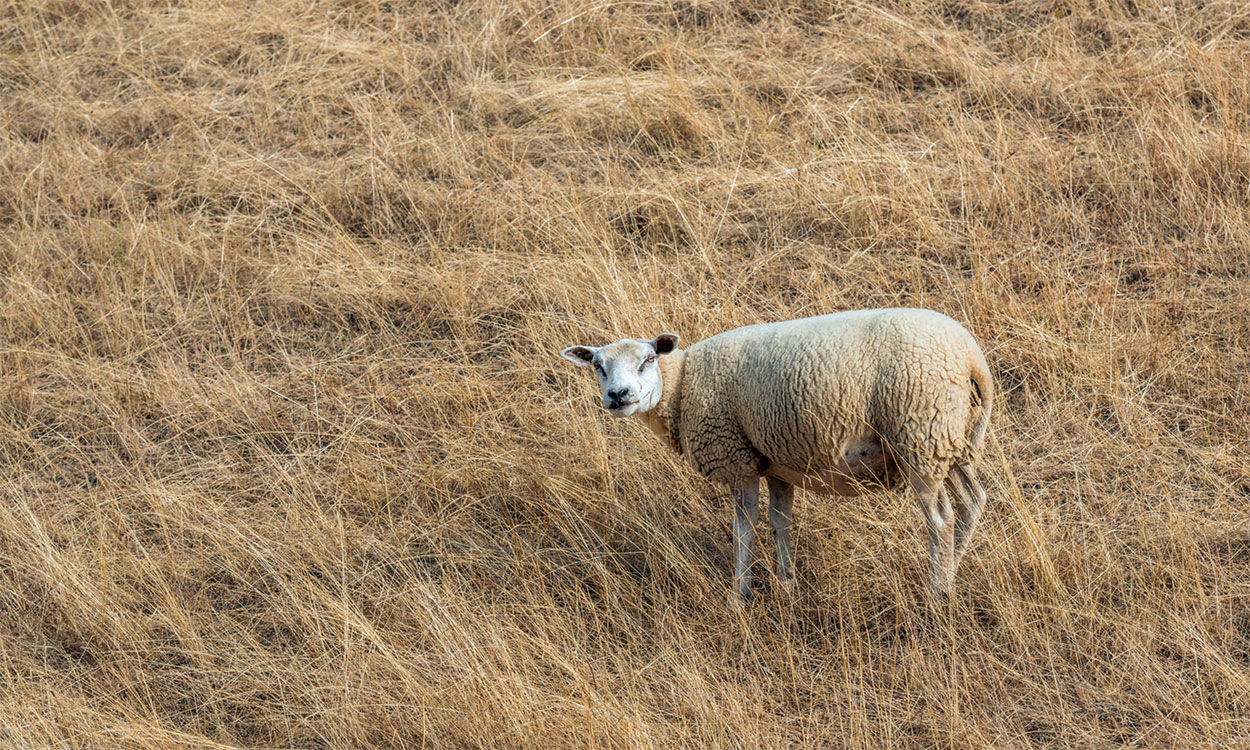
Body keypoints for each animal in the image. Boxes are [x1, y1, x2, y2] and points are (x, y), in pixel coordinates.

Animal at [562, 307, 990, 600]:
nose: (618, 395)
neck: (682, 385)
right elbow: (780, 522)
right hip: (950, 442)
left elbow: (745, 528)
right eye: (598, 366)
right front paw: (787, 586)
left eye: (648, 359)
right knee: (971, 503)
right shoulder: (776, 466)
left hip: (919, 434)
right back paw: (954, 569)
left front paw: (739, 595)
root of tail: (971, 355)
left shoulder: (737, 460)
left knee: (941, 521)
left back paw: (936, 593)